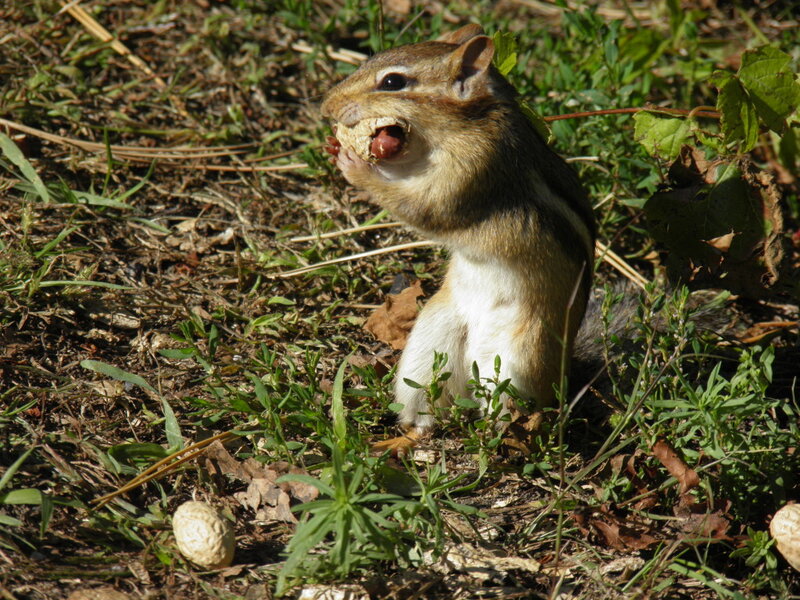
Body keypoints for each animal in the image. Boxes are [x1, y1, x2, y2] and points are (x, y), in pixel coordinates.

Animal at [320, 24, 597, 454]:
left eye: (393, 82)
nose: (327, 108)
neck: (466, 123)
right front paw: (337, 145)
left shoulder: (475, 167)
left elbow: (425, 207)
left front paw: (356, 167)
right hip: (426, 349)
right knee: (429, 415)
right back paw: (394, 442)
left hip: (521, 362)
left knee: (506, 419)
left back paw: (498, 444)